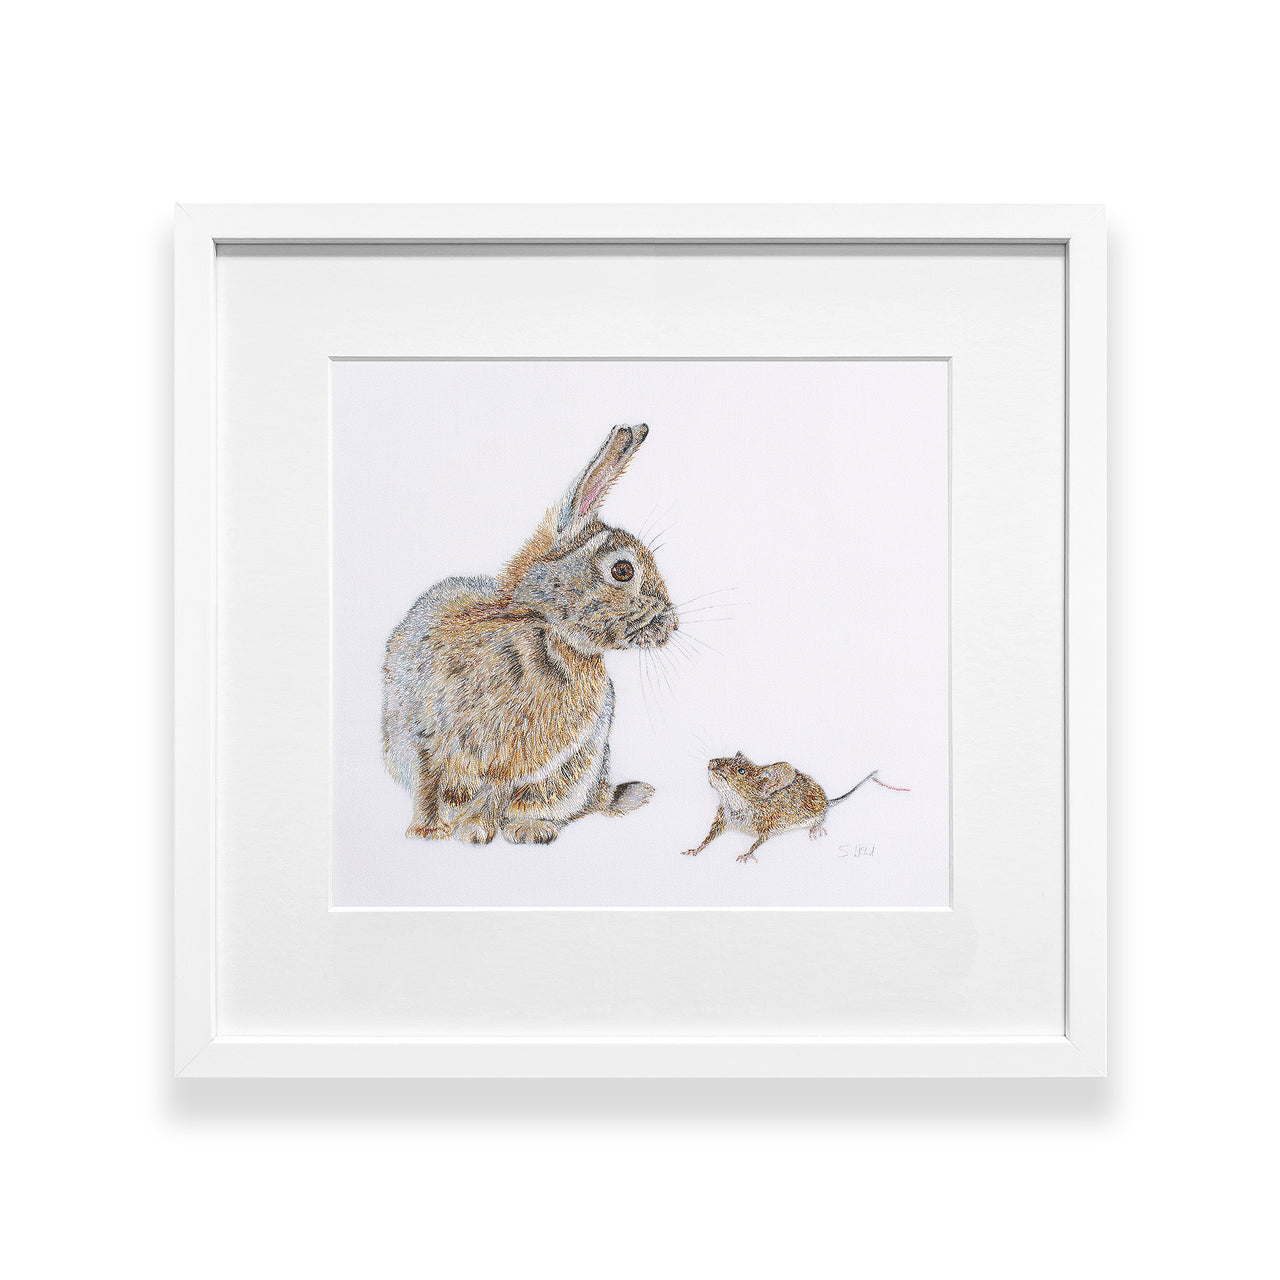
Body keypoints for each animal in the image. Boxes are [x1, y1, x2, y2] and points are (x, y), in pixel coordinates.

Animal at [382, 423, 678, 845]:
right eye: (623, 570)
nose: (671, 625)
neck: (544, 628)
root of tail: (601, 790)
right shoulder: (426, 733)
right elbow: (428, 783)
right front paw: (427, 832)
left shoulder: (521, 756)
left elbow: (497, 790)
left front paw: (474, 832)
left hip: (579, 767)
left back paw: (530, 829)